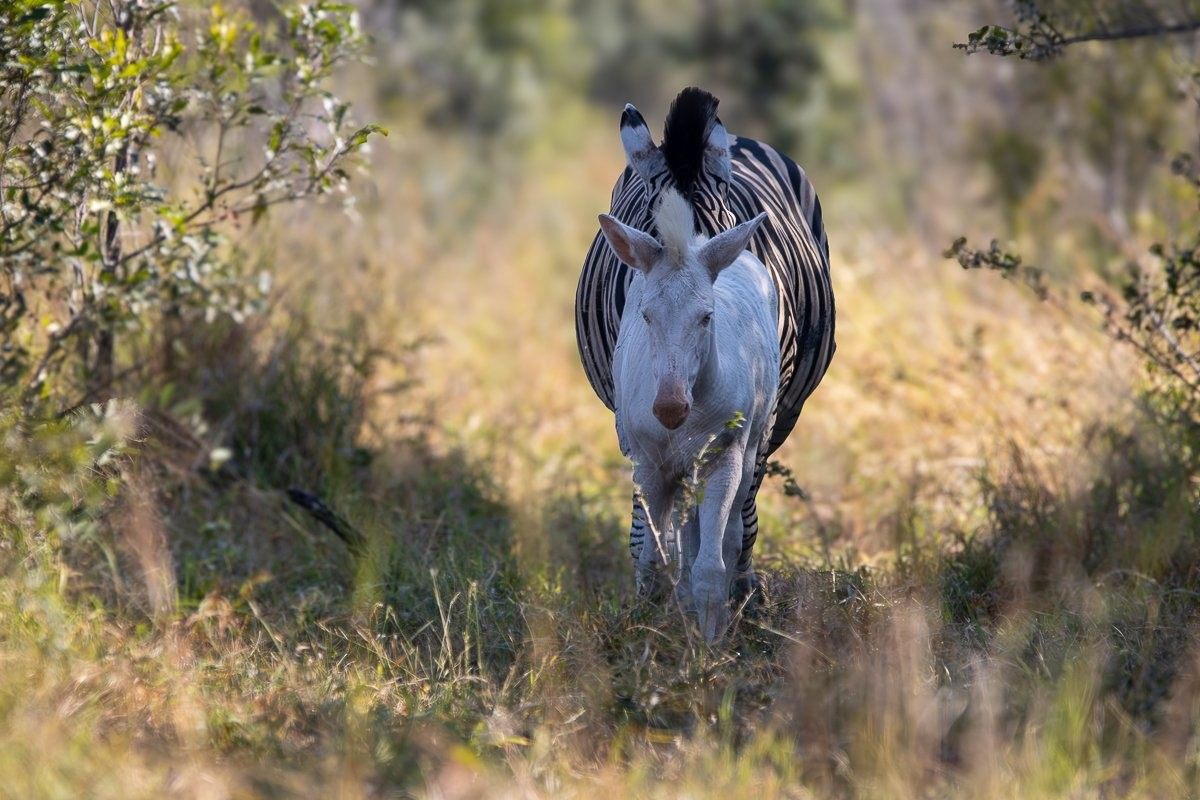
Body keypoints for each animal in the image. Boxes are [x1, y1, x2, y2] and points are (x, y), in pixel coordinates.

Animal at [576, 86, 835, 602]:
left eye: (722, 235)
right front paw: (650, 596)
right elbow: (646, 524)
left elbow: (738, 510)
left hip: (784, 411)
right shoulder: (630, 419)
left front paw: (734, 588)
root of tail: (738, 139)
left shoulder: (758, 414)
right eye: (647, 237)